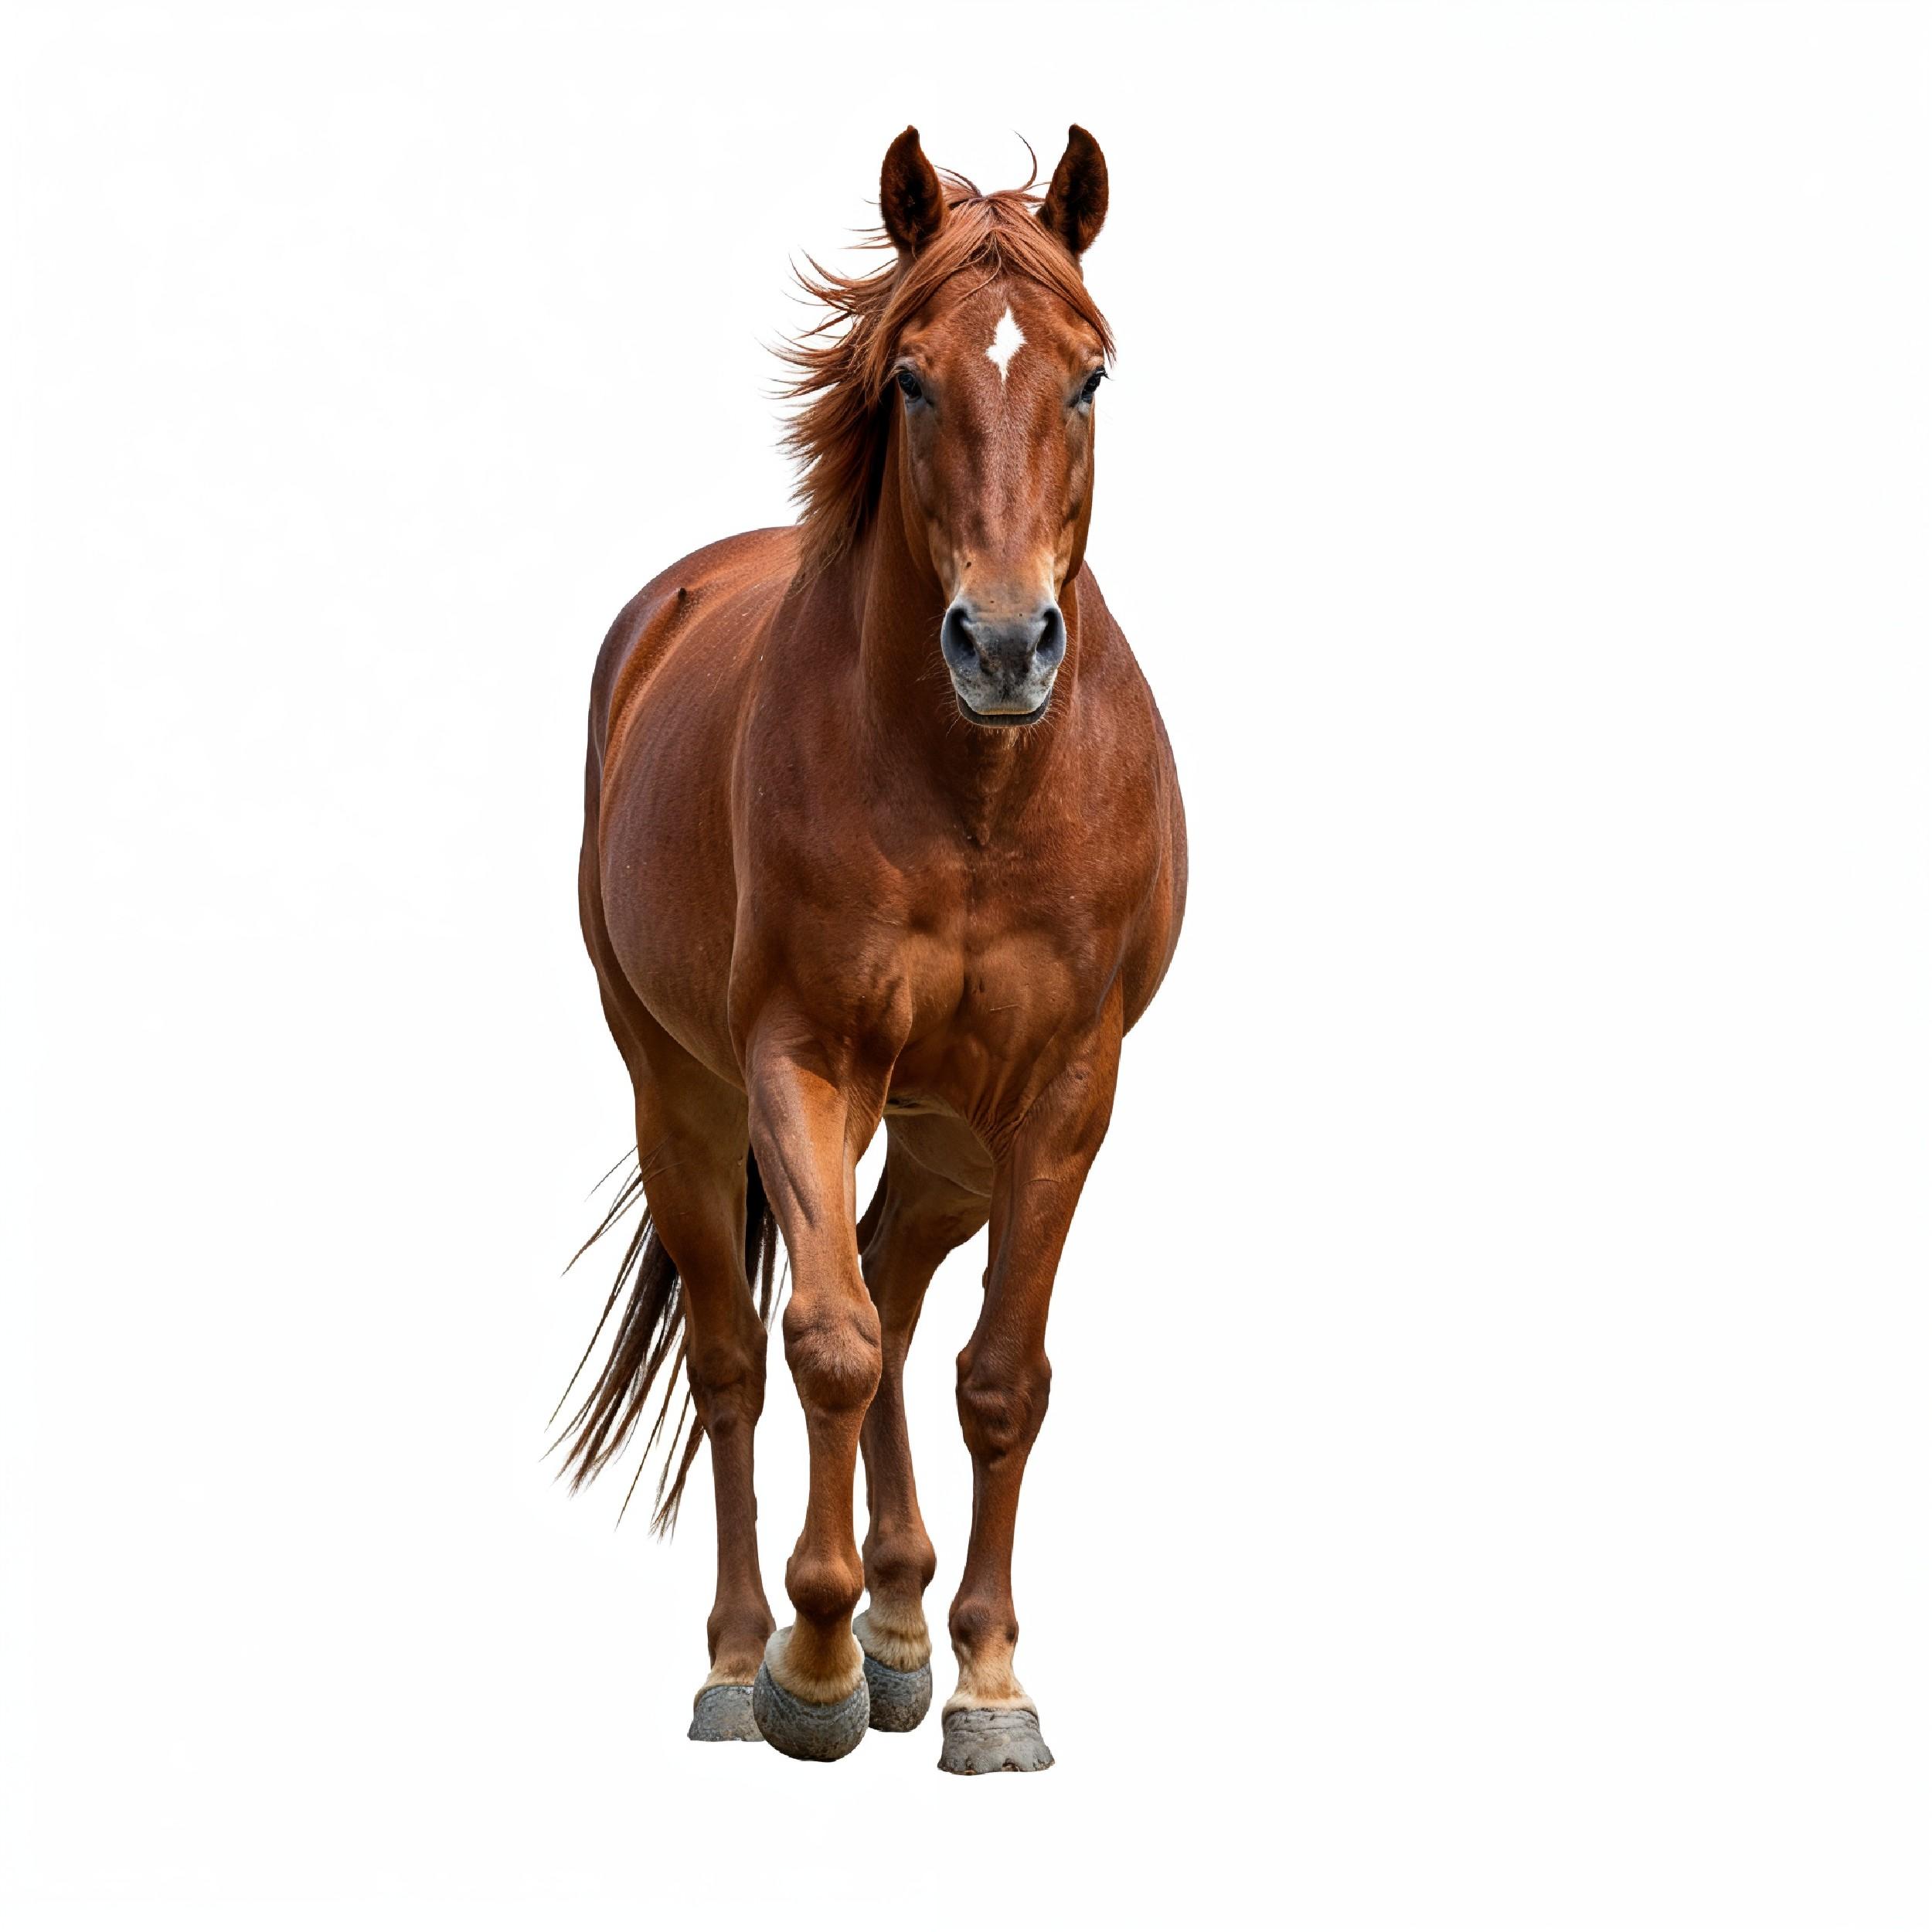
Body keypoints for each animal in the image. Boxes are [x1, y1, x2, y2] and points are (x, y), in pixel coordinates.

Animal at [559, 125, 1187, 1774]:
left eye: (1091, 375)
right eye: (909, 377)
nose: (1007, 645)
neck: (970, 790)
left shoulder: (1062, 1093)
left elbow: (998, 1378)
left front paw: (986, 1684)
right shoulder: (806, 1063)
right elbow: (822, 1343)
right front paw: (812, 1665)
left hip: (953, 1129)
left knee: (905, 1300)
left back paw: (906, 1628)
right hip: (683, 1098)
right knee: (739, 1355)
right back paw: (742, 1661)